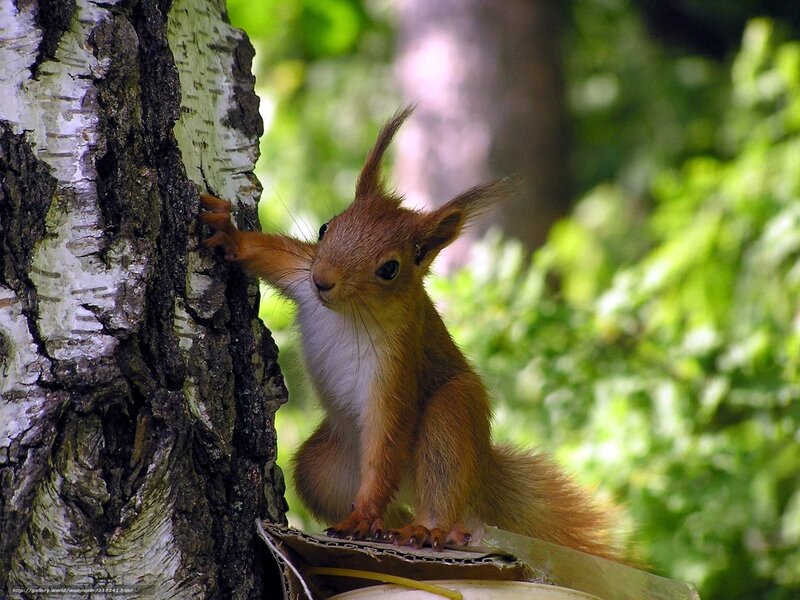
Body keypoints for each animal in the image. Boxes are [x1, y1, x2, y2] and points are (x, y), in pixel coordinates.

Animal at [200, 107, 622, 560]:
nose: (323, 281)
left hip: (451, 418)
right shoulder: (300, 273)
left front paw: (365, 514)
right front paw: (229, 234)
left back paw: (429, 529)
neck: (347, 313)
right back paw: (386, 527)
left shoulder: (397, 362)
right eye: (326, 228)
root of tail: (481, 474)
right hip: (323, 468)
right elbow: (270, 254)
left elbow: (387, 436)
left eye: (390, 268)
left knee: (440, 486)